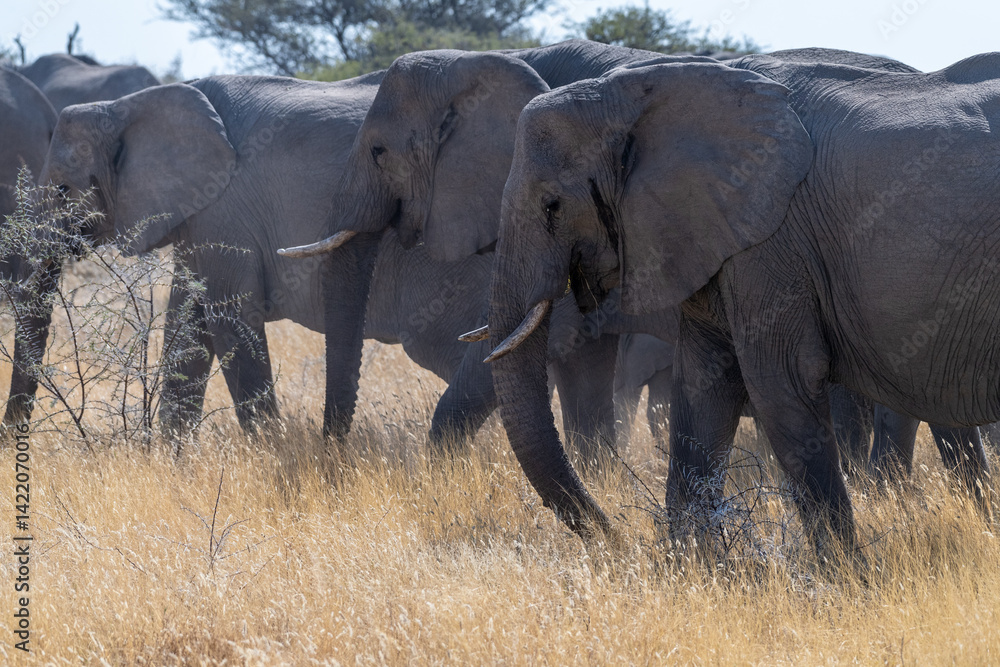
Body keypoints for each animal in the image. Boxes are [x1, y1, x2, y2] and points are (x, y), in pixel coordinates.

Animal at [484, 54, 1000, 553]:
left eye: (552, 204)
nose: (615, 538)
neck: (641, 88)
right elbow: (701, 388)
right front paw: (694, 568)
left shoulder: (771, 245)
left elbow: (781, 383)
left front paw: (845, 576)